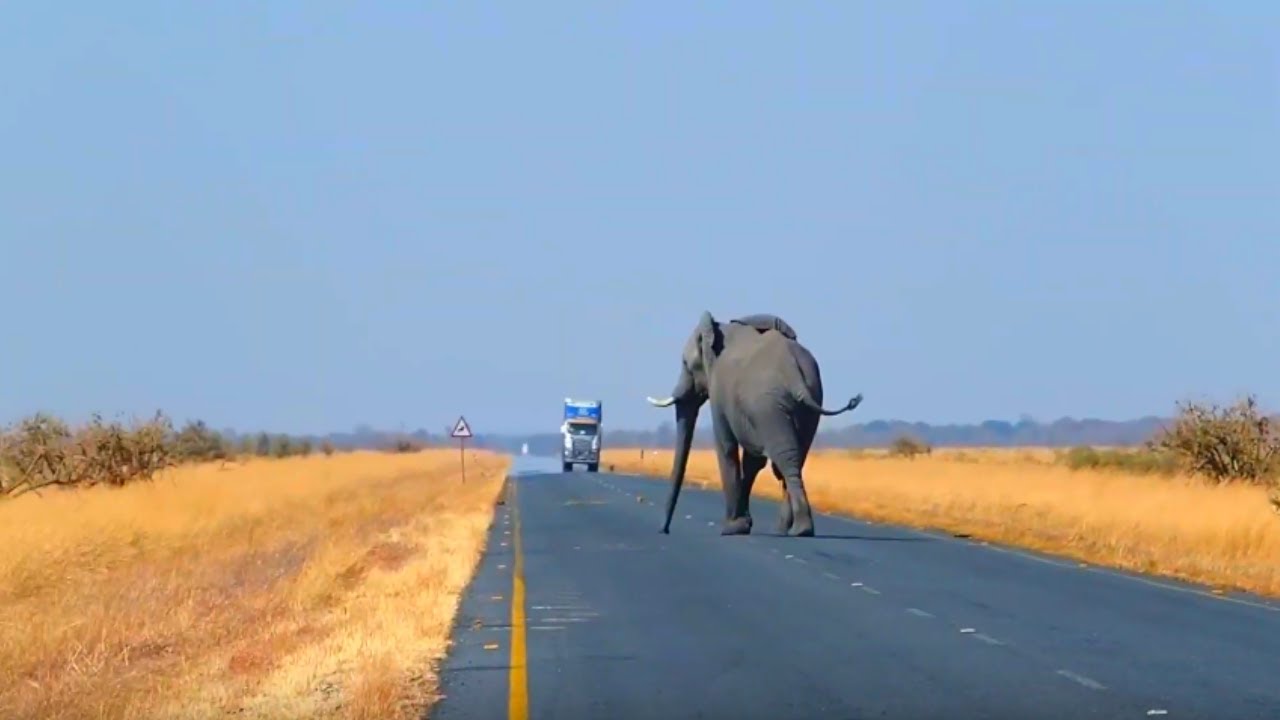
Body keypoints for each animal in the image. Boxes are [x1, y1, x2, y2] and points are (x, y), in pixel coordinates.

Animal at [645, 311, 863, 537]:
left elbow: (726, 448)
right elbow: (753, 461)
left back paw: (798, 529)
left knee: (785, 458)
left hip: (767, 404)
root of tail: (794, 372)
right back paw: (788, 530)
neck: (717, 330)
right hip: (808, 399)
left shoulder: (719, 392)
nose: (664, 531)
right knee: (795, 458)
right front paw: (744, 523)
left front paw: (732, 528)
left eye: (685, 364)